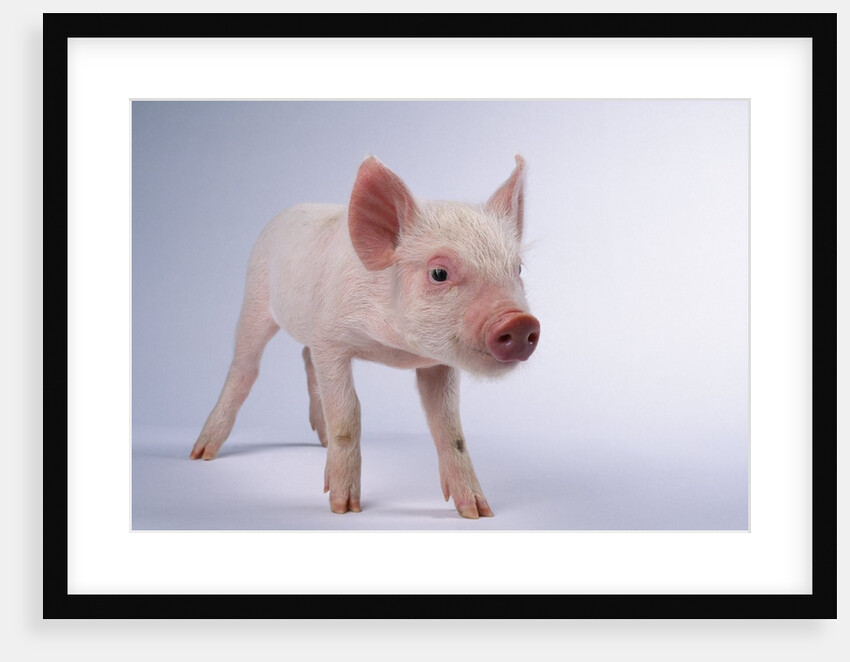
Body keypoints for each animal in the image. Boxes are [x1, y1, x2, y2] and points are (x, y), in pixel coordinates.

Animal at [190, 155, 540, 519]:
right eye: (439, 273)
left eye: (518, 269)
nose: (519, 320)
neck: (392, 348)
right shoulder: (331, 339)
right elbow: (348, 412)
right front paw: (344, 507)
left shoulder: (436, 362)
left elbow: (449, 426)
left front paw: (477, 512)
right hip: (255, 300)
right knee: (245, 365)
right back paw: (201, 453)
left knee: (306, 357)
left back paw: (322, 441)